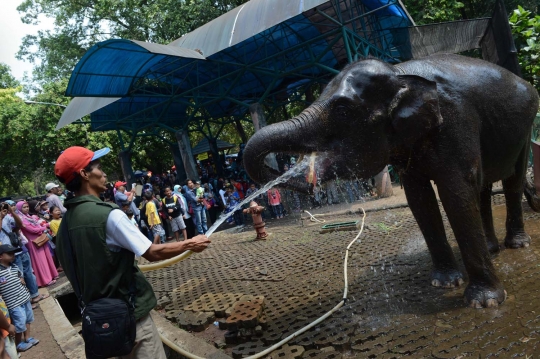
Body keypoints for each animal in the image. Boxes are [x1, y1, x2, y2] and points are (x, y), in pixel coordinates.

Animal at [245, 54, 540, 310]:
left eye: (343, 110)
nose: (308, 177)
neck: (401, 73)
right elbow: (420, 199)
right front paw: (444, 283)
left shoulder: (456, 121)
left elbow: (455, 193)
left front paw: (485, 302)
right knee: (483, 188)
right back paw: (492, 249)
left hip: (526, 129)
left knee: (512, 181)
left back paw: (517, 244)